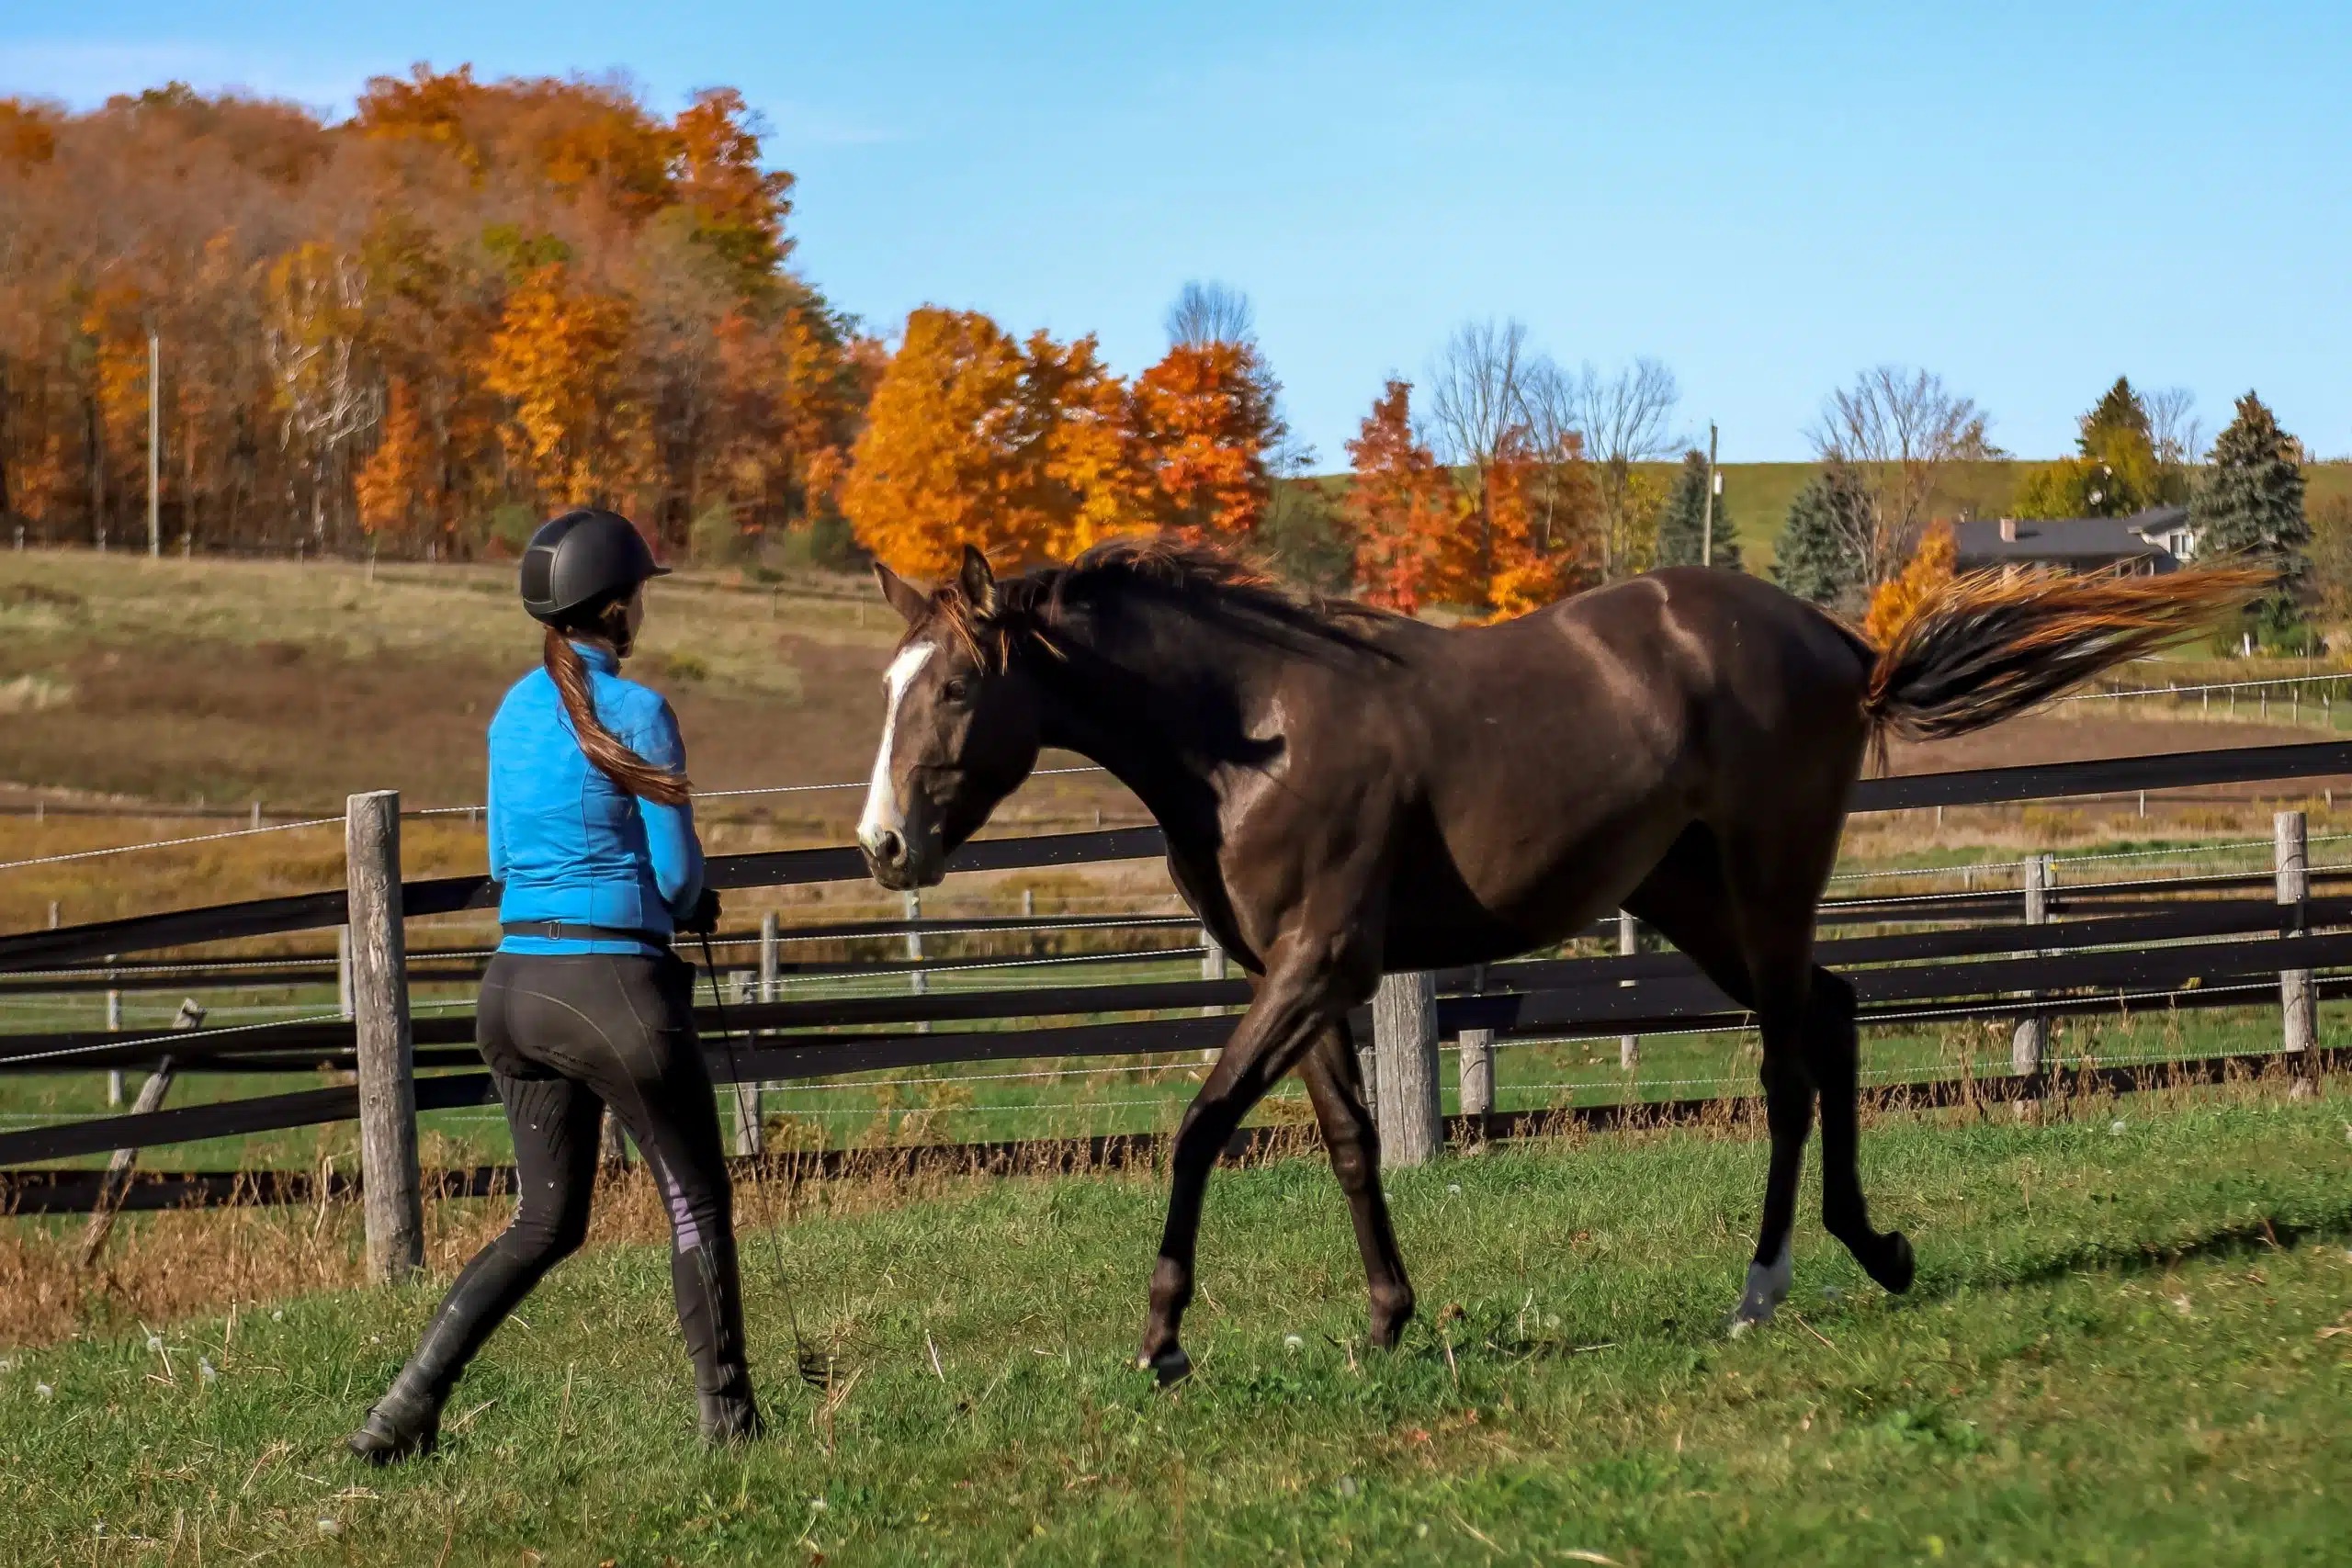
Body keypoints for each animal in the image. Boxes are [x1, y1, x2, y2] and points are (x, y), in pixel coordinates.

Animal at [855, 543, 2248, 1382]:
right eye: (890, 683)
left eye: (959, 689)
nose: (883, 844)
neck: (1252, 730)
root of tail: (1845, 647)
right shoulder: (1298, 980)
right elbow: (1350, 1141)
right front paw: (1386, 1318)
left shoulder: (1317, 964)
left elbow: (1198, 1124)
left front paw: (1161, 1340)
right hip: (1691, 895)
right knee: (1839, 1018)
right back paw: (1878, 1250)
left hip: (1766, 880)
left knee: (1792, 1065)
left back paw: (1762, 1286)